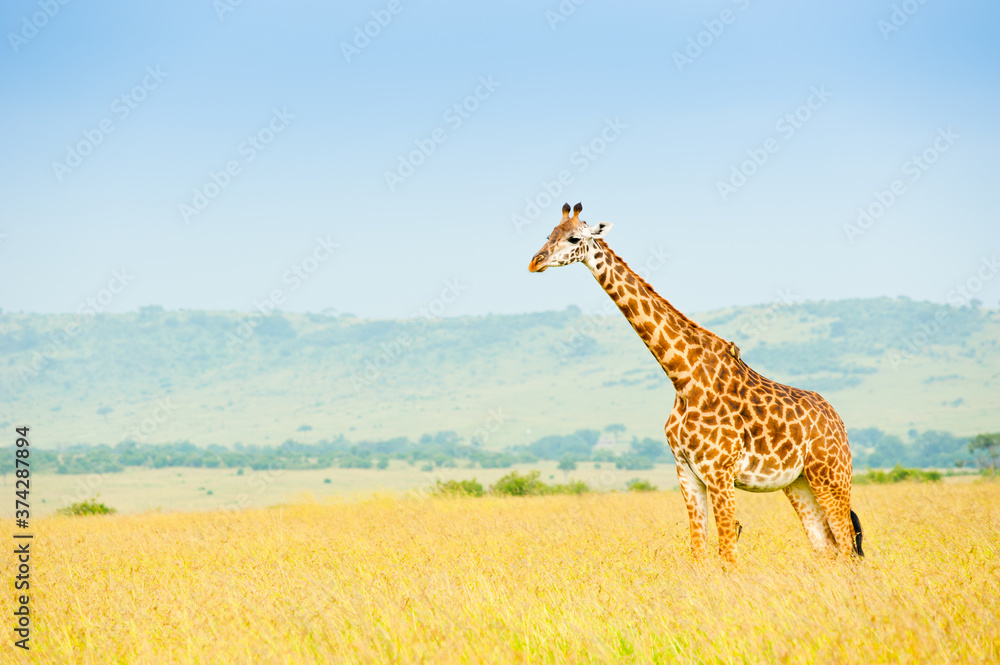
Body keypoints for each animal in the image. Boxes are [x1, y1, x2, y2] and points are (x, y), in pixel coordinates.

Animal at [528, 203, 864, 567]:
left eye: (574, 238)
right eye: (548, 234)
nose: (535, 261)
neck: (683, 378)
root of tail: (839, 421)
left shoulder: (719, 472)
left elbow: (727, 554)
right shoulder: (686, 472)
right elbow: (698, 552)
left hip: (831, 475)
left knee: (847, 545)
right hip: (799, 482)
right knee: (826, 547)